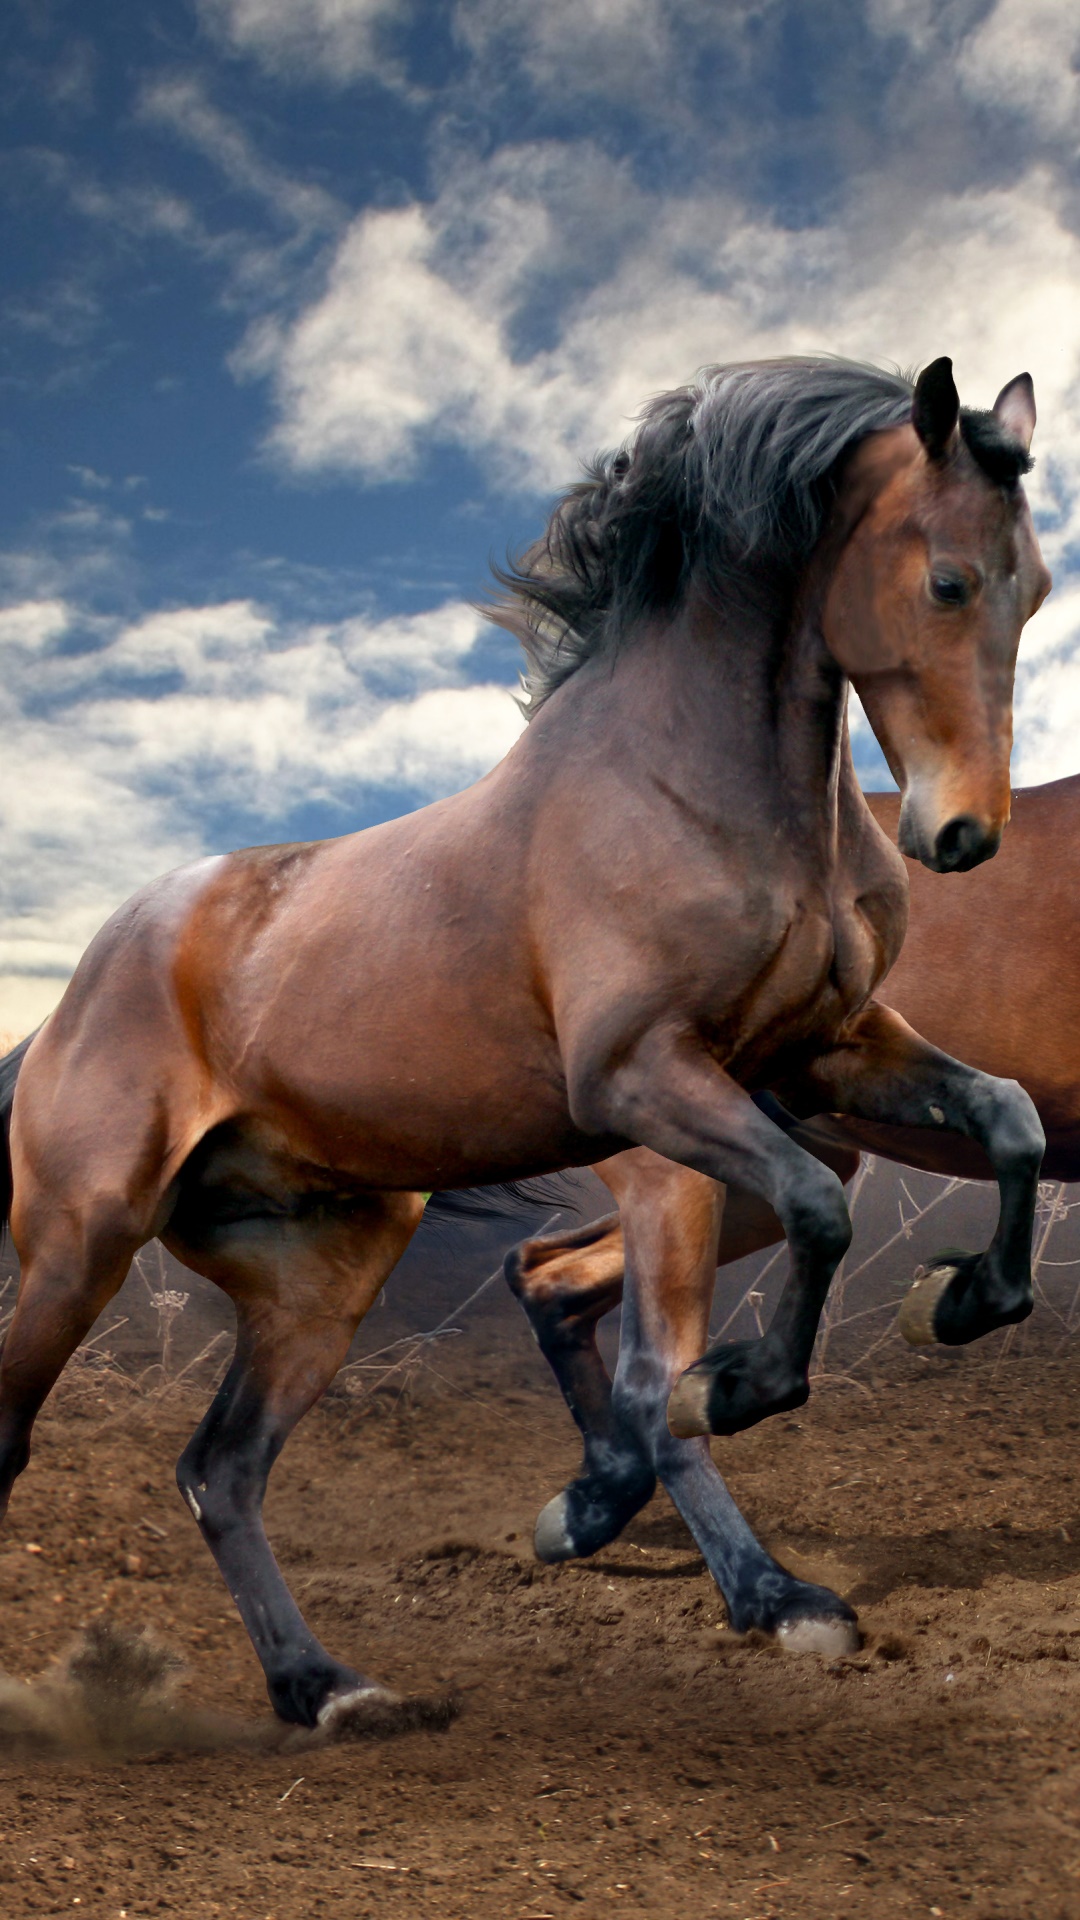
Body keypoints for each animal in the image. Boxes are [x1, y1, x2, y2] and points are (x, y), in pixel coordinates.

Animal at [505, 775, 1080, 1649]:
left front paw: (949, 1296)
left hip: (762, 1172)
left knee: (551, 1276)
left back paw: (592, 1506)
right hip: (676, 1174)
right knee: (650, 1381)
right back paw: (775, 1597)